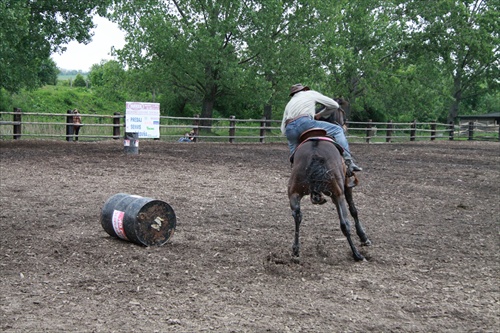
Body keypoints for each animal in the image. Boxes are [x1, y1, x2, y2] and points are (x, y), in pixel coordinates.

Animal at [290, 131, 372, 260]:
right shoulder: (347, 186)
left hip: (294, 193)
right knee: (345, 224)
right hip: (338, 195)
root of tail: (314, 154)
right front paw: (363, 237)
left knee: (297, 216)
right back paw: (357, 255)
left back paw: (296, 250)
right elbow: (353, 210)